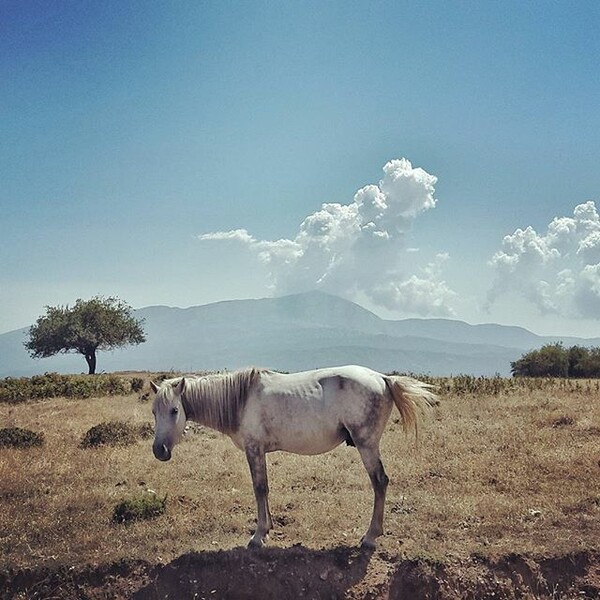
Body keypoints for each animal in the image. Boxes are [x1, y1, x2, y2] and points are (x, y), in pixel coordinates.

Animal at [151, 364, 436, 552]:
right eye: (154, 411)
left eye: (174, 410)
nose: (159, 450)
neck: (241, 401)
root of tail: (382, 378)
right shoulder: (260, 453)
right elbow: (265, 489)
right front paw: (268, 528)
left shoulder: (254, 450)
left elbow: (259, 488)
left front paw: (258, 536)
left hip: (367, 445)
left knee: (380, 482)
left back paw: (370, 537)